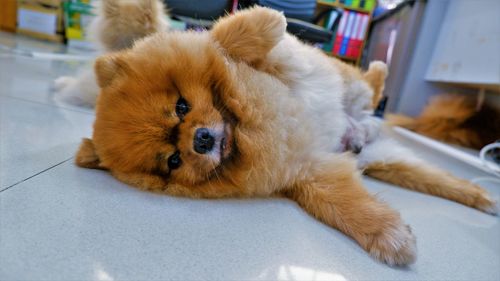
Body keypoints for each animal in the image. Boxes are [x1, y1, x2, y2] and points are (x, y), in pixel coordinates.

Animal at [76, 6, 498, 264]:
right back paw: (483, 197)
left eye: (182, 106)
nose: (201, 139)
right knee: (436, 177)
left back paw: (378, 67)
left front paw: (267, 22)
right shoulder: (309, 170)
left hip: (353, 90)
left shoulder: (278, 64)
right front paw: (389, 237)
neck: (247, 127)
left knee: (370, 85)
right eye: (173, 160)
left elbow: (229, 37)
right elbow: (341, 207)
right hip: (381, 159)